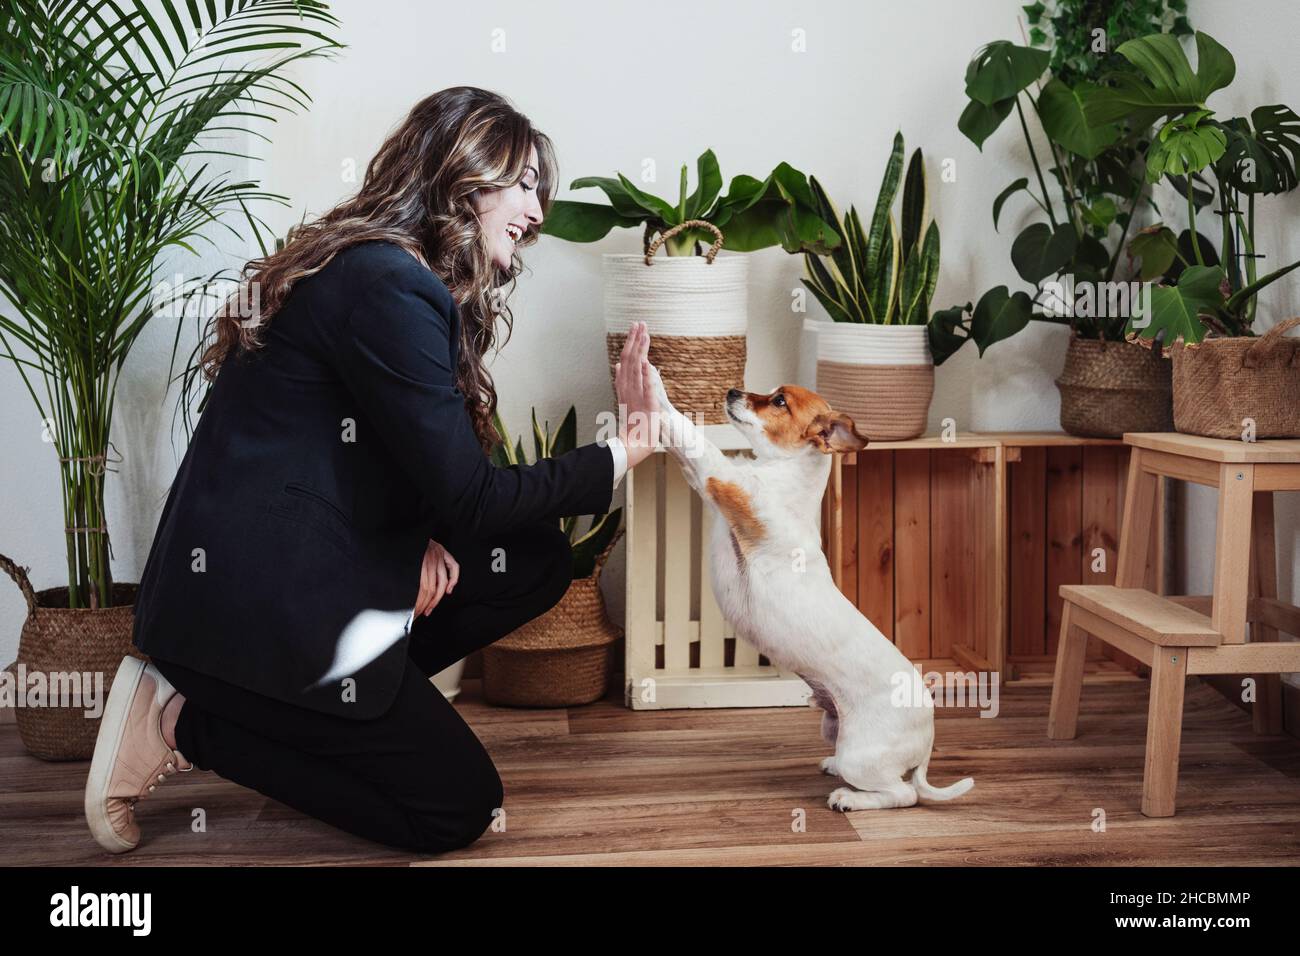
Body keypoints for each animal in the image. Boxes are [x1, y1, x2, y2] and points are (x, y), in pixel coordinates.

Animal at [650, 369, 977, 811]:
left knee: (902, 793)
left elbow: (687, 432)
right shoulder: (707, 483)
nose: (731, 390)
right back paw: (832, 767)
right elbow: (680, 444)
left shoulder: (722, 480)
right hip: (831, 727)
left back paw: (848, 798)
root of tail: (927, 740)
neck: (783, 473)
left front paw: (650, 379)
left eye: (779, 402)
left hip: (861, 753)